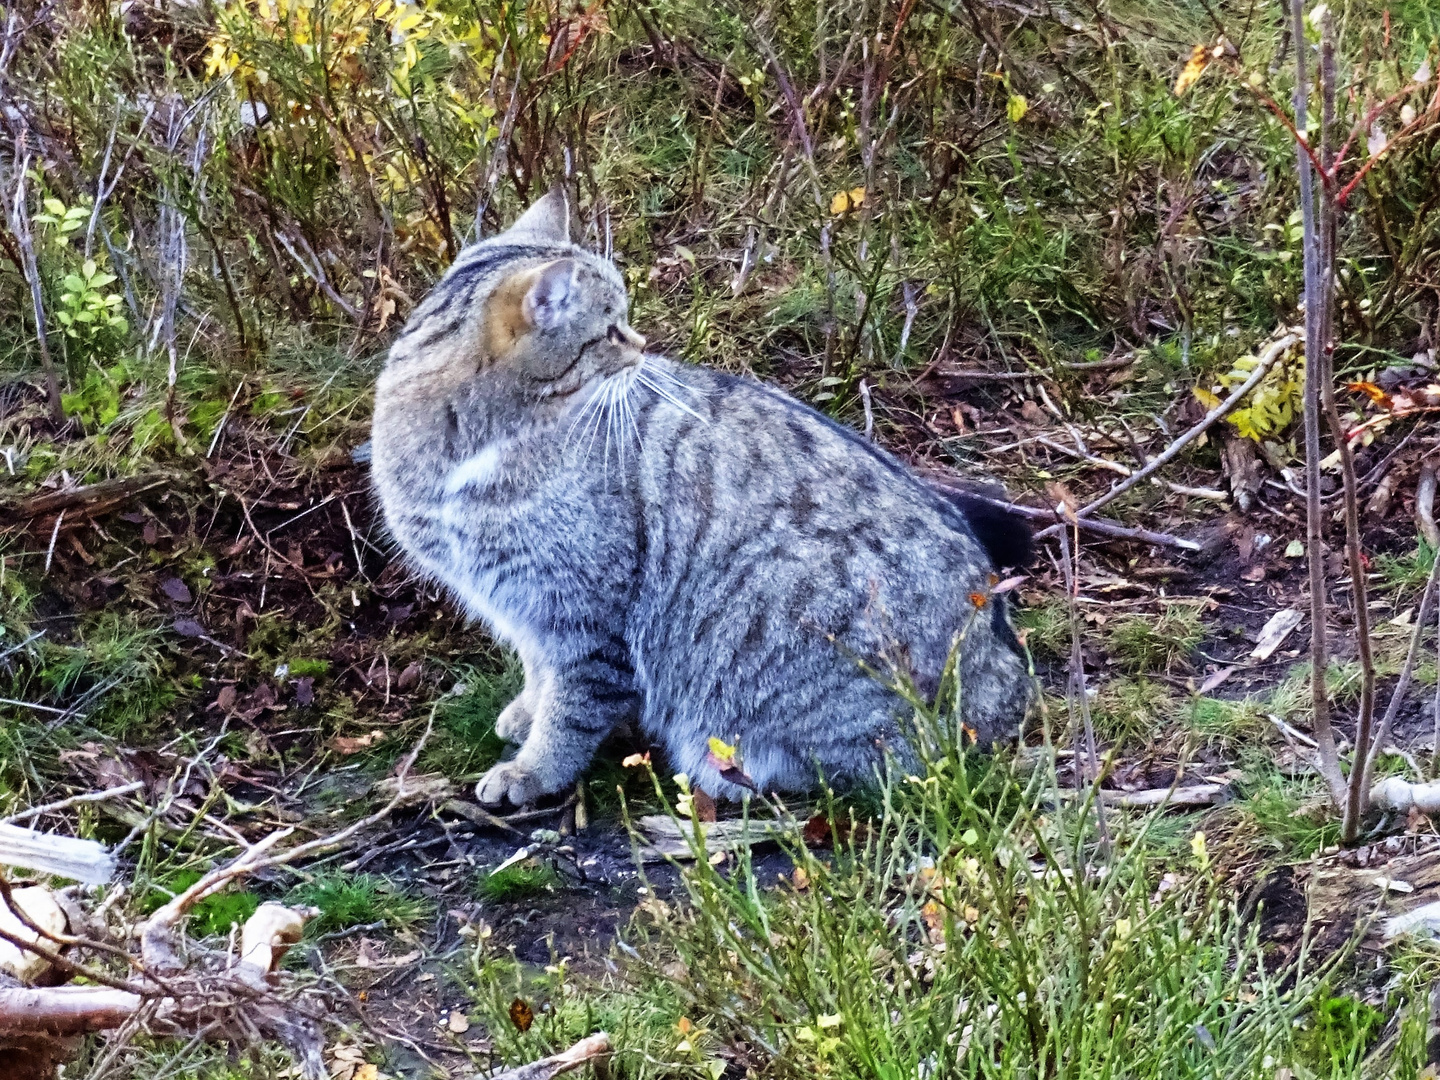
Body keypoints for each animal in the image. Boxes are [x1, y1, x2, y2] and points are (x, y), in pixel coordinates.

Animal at [365, 190, 1031, 806]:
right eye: (610, 329)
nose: (642, 347)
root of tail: (1005, 677)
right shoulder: (524, 600)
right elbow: (539, 669)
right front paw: (528, 712)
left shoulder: (583, 612)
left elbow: (573, 706)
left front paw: (534, 770)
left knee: (882, 771)